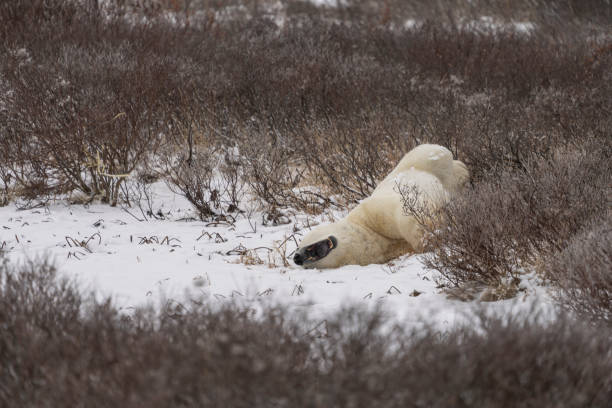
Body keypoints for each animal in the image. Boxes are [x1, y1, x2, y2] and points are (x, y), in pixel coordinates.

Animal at [292, 145, 468, 270]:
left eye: (306, 248)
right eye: (299, 251)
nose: (297, 257)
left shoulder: (371, 212)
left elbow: (403, 214)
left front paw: (430, 237)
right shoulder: (388, 250)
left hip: (420, 162)